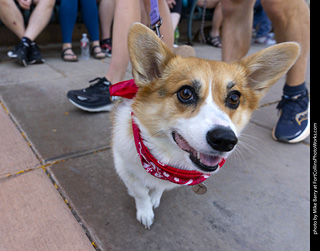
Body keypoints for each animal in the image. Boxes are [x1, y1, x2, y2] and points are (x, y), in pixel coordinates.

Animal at [112, 23, 300, 229]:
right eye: (186, 93)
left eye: (234, 98)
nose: (225, 140)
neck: (164, 160)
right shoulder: (125, 169)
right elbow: (140, 193)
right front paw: (145, 211)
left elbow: (159, 188)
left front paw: (154, 198)